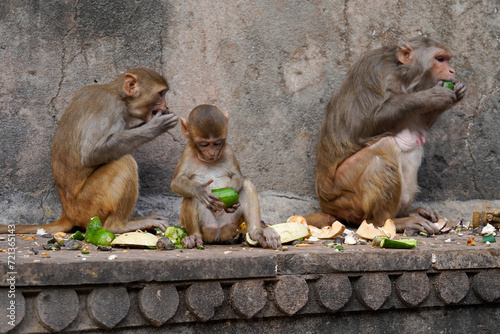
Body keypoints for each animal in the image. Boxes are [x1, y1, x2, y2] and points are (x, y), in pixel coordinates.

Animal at [0, 68, 179, 235]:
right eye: (161, 94)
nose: (166, 106)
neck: (118, 95)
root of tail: (67, 213)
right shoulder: (110, 105)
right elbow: (91, 153)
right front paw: (156, 126)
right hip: (88, 206)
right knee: (124, 161)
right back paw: (119, 226)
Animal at [171, 105, 282, 249]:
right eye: (204, 144)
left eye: (217, 143)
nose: (212, 152)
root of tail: (217, 234)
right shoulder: (187, 152)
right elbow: (176, 182)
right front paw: (200, 190)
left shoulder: (228, 150)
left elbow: (237, 175)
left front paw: (231, 190)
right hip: (207, 227)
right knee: (190, 196)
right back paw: (194, 237)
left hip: (232, 224)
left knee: (246, 185)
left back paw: (256, 232)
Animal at [316, 36, 464, 234]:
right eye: (440, 59)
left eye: (447, 59)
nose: (452, 70)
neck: (403, 76)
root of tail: (326, 204)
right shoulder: (373, 71)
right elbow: (363, 124)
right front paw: (431, 96)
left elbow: (417, 125)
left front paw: (458, 91)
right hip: (342, 192)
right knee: (385, 147)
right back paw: (389, 221)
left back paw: (406, 212)